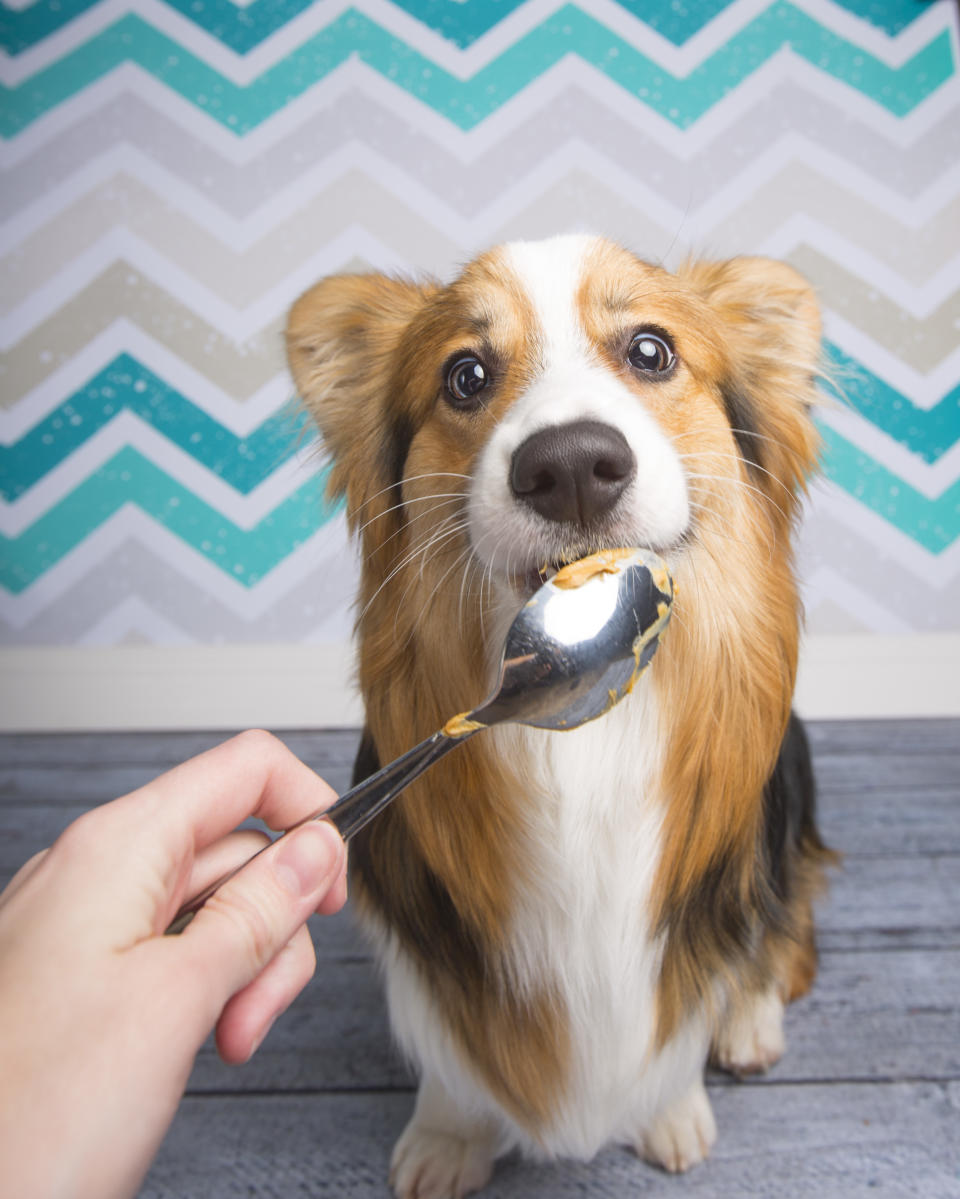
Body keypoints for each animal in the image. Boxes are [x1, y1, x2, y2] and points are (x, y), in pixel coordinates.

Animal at [285, 236, 829, 1199]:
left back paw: (751, 1020)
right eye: (465, 375)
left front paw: (671, 1109)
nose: (572, 464)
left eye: (651, 350)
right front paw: (447, 1136)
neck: (585, 741)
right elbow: (451, 1047)